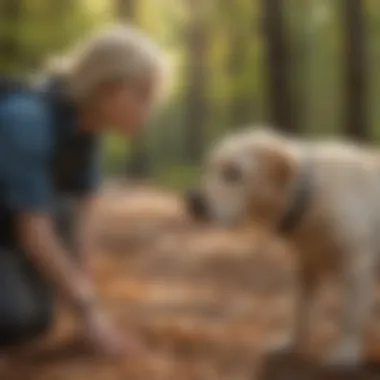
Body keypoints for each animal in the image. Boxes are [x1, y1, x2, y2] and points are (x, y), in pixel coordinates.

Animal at [186, 127, 380, 368]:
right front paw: (292, 344)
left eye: (233, 173)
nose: (193, 201)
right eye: (208, 169)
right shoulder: (306, 267)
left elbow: (349, 316)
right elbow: (300, 310)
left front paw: (345, 352)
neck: (309, 197)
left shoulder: (356, 266)